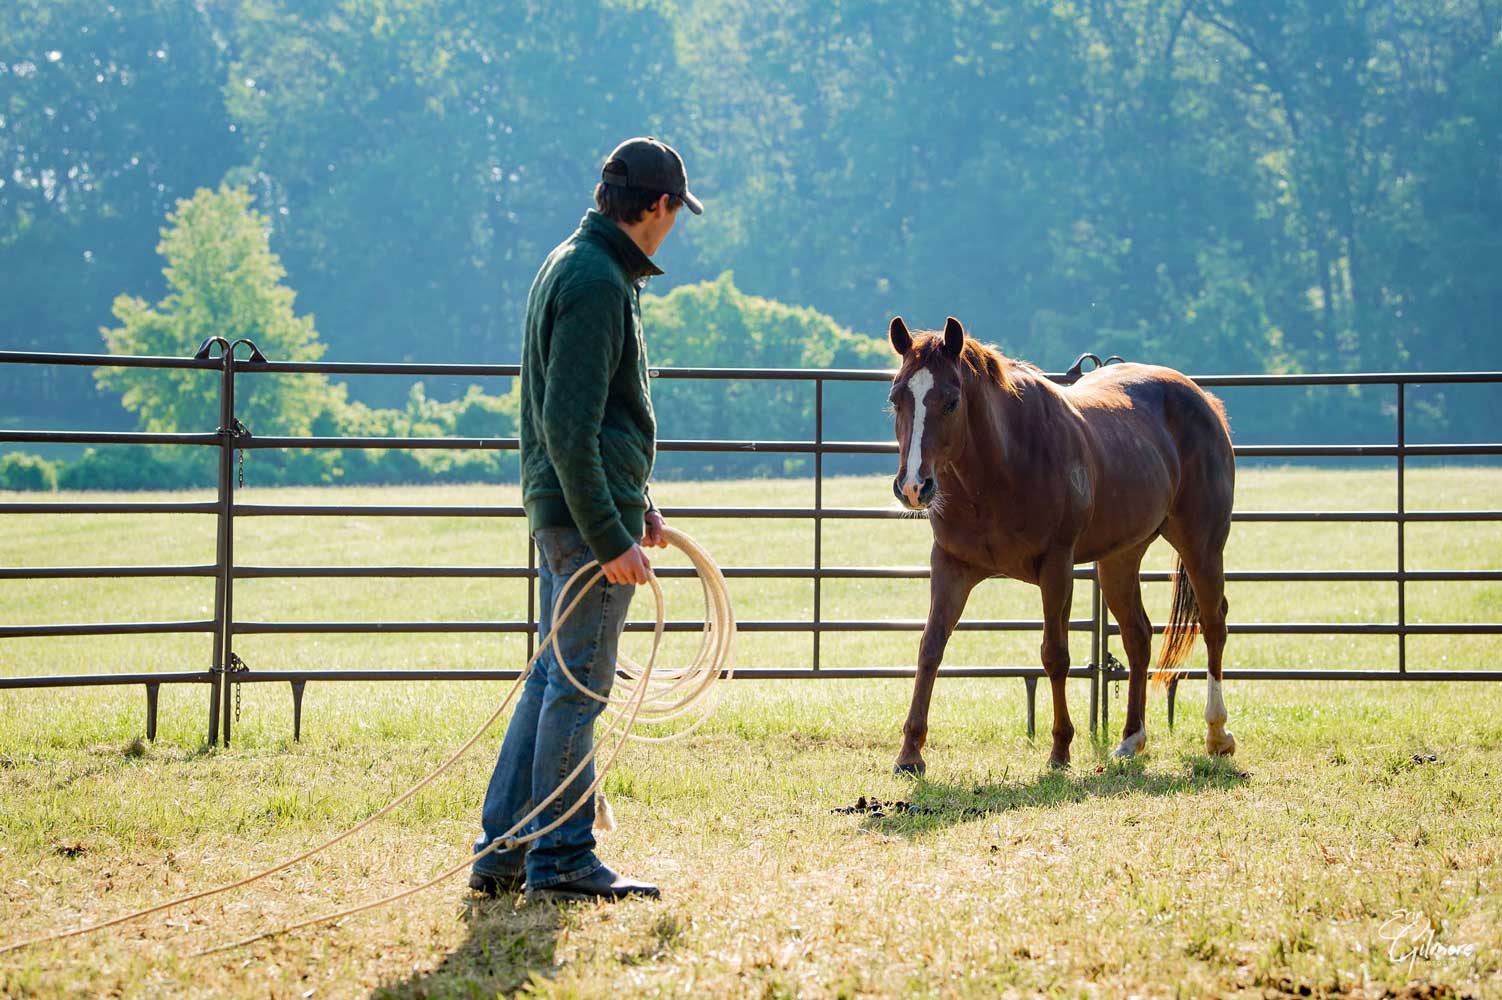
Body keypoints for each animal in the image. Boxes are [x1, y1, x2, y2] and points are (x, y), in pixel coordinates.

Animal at [889, 315, 1231, 765]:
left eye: (950, 401)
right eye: (897, 399)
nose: (914, 487)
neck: (999, 467)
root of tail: (1205, 400)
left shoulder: (1057, 565)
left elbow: (1055, 654)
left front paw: (1060, 747)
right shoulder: (950, 564)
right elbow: (930, 647)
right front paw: (910, 753)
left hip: (1201, 544)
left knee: (1213, 624)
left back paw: (1217, 733)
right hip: (1121, 558)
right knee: (1138, 635)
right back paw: (1131, 738)